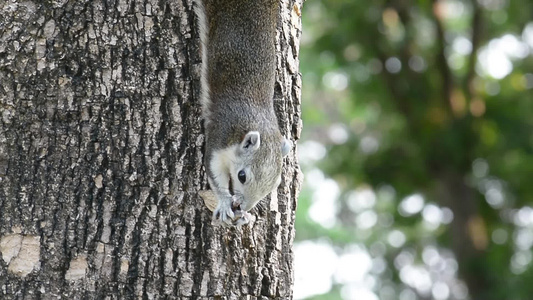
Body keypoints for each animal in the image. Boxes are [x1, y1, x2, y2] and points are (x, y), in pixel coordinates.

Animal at [194, 0, 290, 226]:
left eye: (275, 185)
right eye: (242, 176)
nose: (243, 207)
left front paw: (244, 216)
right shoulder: (220, 135)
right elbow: (214, 172)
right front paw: (224, 202)